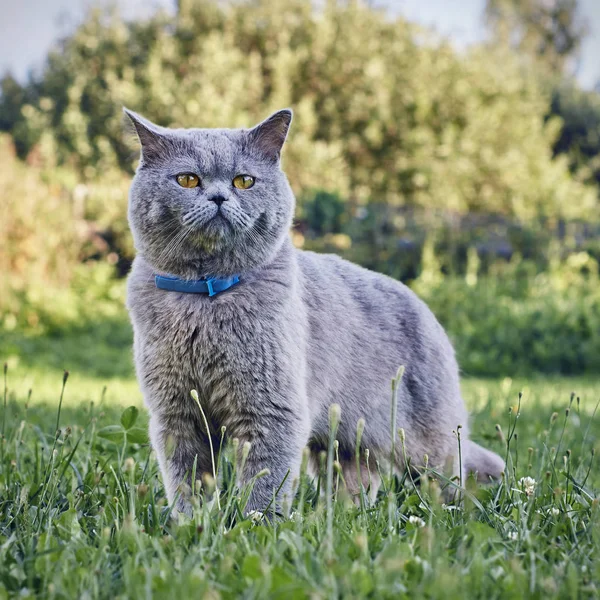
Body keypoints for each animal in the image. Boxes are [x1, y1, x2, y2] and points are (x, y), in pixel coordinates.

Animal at [124, 109, 504, 516]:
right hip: (344, 440)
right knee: (358, 477)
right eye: (187, 179)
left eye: (244, 181)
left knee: (450, 477)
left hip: (427, 442)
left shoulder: (272, 409)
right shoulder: (176, 414)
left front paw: (255, 523)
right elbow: (188, 481)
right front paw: (191, 522)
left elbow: (264, 483)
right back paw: (343, 514)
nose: (219, 197)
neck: (204, 296)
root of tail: (426, 309)